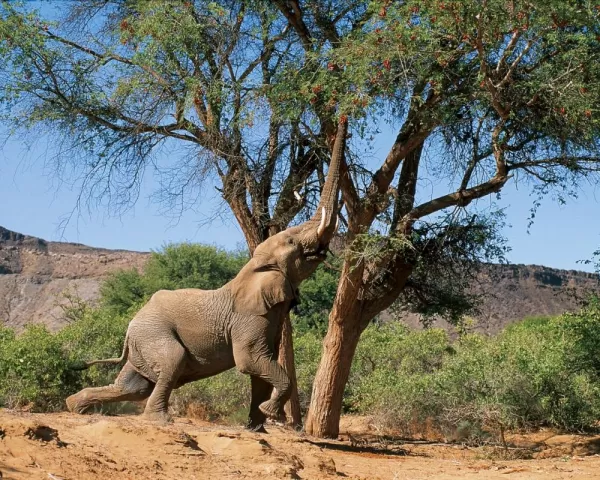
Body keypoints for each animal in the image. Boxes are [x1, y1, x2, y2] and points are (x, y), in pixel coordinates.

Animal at [64, 118, 346, 430]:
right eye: (293, 243)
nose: (343, 119)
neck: (253, 268)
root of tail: (130, 326)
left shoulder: (270, 317)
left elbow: (261, 367)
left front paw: (257, 428)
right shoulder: (250, 318)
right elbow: (251, 360)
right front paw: (271, 414)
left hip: (143, 342)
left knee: (133, 386)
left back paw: (74, 406)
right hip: (154, 334)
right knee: (169, 364)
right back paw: (160, 420)